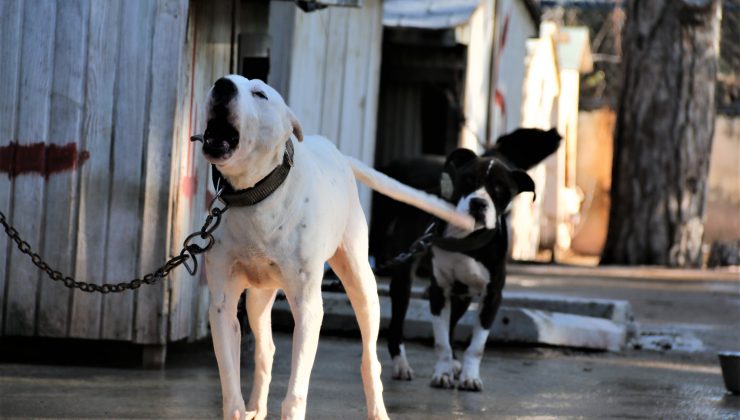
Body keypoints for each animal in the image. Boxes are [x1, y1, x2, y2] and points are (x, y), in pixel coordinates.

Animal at [199, 75, 472, 420]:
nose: (222, 85)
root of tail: (336, 151)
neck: (256, 196)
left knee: (370, 359)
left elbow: (296, 390)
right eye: (220, 81)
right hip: (258, 297)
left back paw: (378, 410)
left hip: (362, 285)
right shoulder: (222, 306)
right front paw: (240, 409)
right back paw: (257, 409)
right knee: (265, 350)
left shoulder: (308, 306)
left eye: (260, 94)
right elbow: (231, 388)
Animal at [370, 129, 560, 390]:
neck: (468, 237)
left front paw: (469, 376)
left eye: (501, 190)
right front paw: (442, 373)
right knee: (398, 323)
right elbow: (441, 341)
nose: (478, 203)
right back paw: (402, 365)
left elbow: (476, 346)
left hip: (463, 294)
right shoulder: (439, 291)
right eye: (469, 180)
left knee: (452, 325)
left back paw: (454, 363)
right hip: (404, 279)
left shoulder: (492, 296)